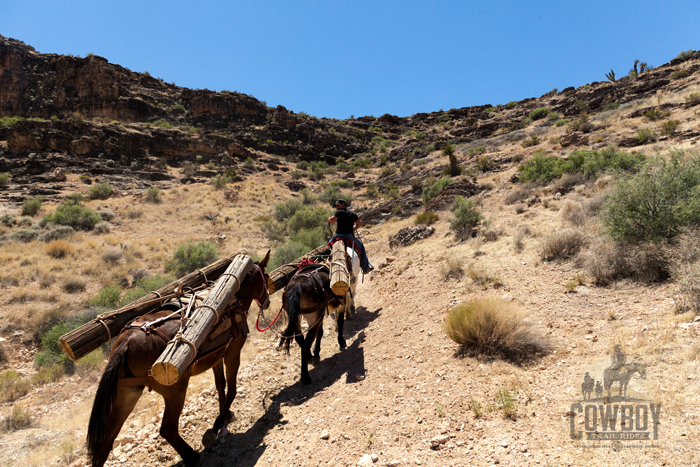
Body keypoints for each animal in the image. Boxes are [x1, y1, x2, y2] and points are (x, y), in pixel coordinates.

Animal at [87, 252, 270, 467]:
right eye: (266, 278)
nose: (267, 301)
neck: (233, 297)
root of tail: (126, 343)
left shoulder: (216, 356)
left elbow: (220, 386)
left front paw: (225, 416)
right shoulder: (232, 352)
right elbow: (232, 389)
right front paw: (216, 426)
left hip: (127, 392)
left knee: (105, 443)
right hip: (175, 390)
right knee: (167, 429)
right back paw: (192, 456)